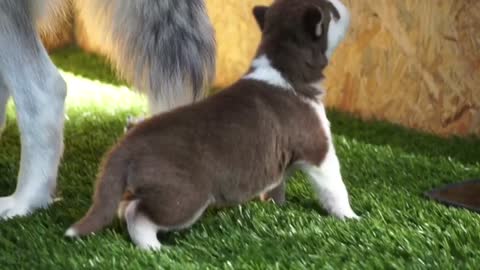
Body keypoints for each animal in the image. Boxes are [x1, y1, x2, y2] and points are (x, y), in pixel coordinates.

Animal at [65, 0, 358, 250]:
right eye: (334, 13)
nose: (346, 6)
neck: (282, 68)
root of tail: (124, 147)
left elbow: (277, 185)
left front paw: (276, 207)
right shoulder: (319, 151)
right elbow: (335, 189)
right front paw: (351, 217)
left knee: (125, 206)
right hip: (185, 195)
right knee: (138, 214)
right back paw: (154, 248)